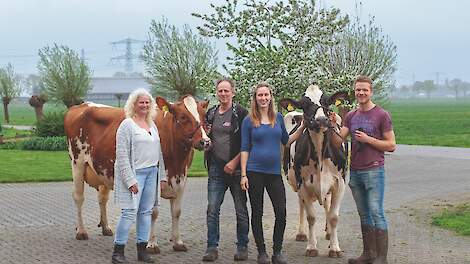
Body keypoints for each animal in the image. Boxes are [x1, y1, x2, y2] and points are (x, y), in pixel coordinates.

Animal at [64, 95, 209, 254]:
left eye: (204, 116)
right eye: (183, 117)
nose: (205, 141)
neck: (176, 162)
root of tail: (81, 105)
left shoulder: (181, 179)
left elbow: (177, 212)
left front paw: (178, 242)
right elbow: (153, 212)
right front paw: (152, 244)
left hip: (102, 169)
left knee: (102, 198)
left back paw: (106, 228)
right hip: (77, 163)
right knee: (78, 197)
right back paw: (81, 231)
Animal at [280, 84, 348, 258]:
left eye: (327, 102)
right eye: (304, 104)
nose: (322, 120)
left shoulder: (340, 183)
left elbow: (334, 216)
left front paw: (335, 248)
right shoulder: (302, 183)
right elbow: (311, 216)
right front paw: (311, 247)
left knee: (327, 205)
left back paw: (329, 233)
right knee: (302, 205)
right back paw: (302, 233)